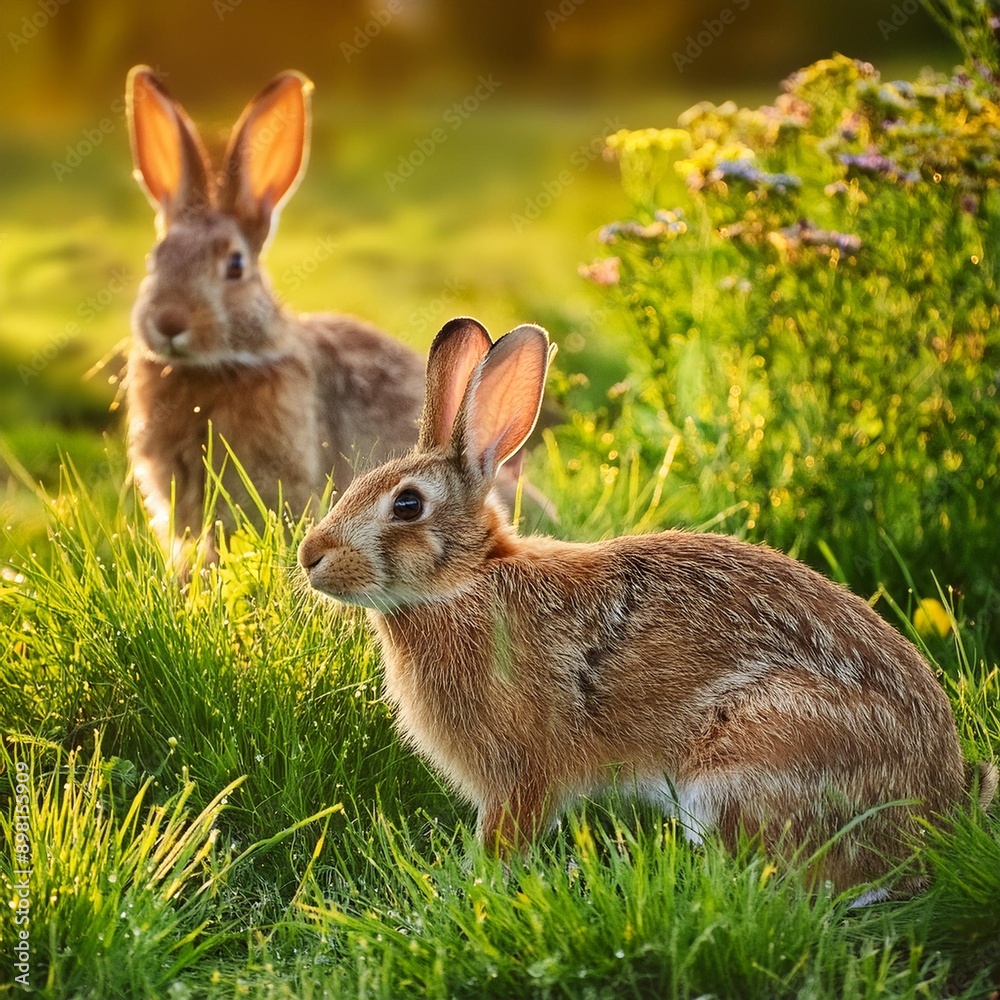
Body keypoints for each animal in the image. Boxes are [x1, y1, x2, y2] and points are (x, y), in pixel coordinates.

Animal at [299, 316, 996, 893]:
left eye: (407, 505)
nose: (309, 555)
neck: (465, 580)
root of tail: (935, 805)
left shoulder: (518, 776)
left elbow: (505, 840)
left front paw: (474, 890)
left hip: (743, 759)